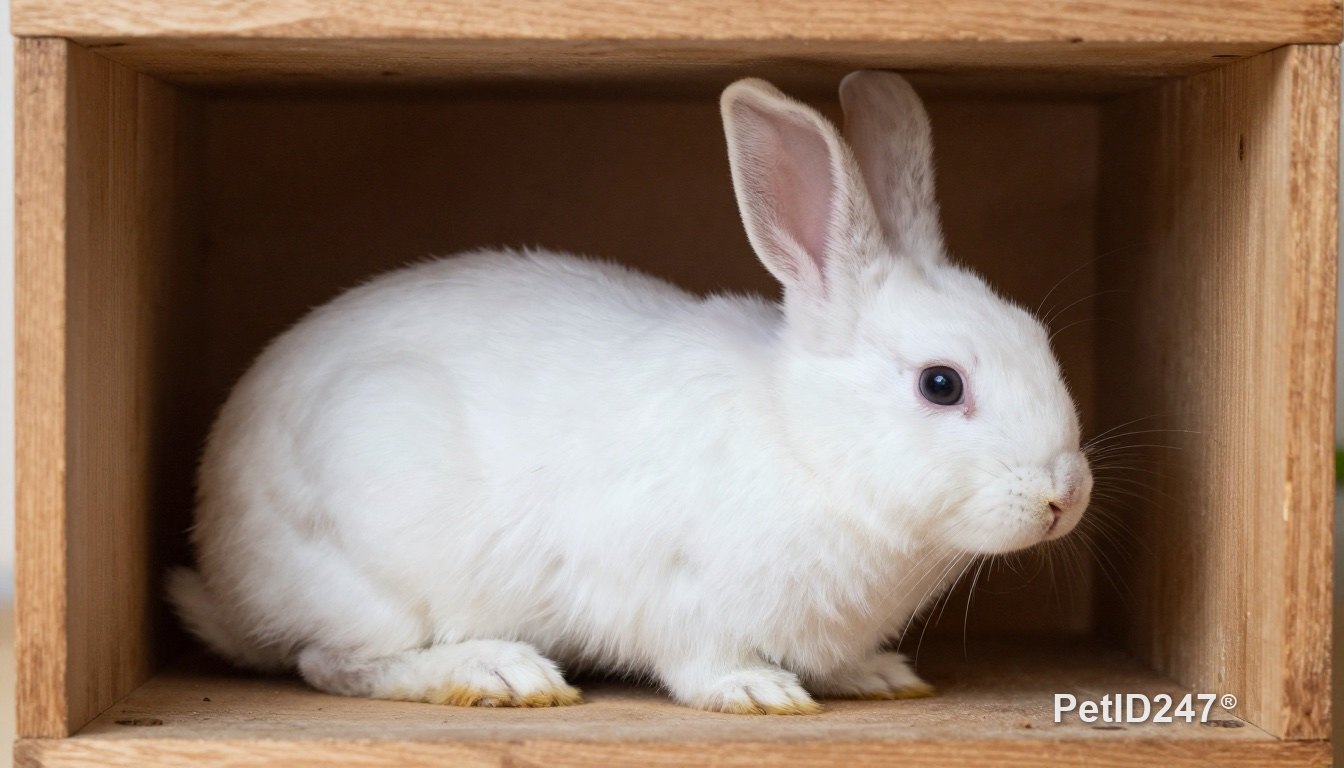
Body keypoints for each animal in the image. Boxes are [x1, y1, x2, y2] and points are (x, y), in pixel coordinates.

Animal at [168, 70, 1091, 715]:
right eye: (942, 384)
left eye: (1037, 342)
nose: (1065, 496)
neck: (804, 443)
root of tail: (222, 575)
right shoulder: (684, 602)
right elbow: (704, 665)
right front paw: (759, 693)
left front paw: (876, 675)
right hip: (371, 566)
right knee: (334, 661)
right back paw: (498, 672)